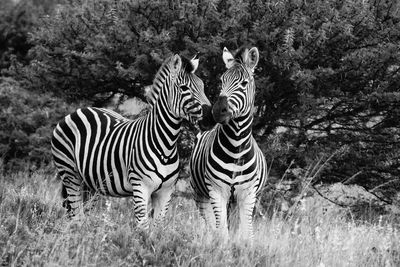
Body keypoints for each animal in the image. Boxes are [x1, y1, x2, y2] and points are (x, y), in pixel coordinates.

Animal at [52, 54, 216, 228]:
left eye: (202, 86)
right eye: (184, 88)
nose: (211, 118)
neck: (166, 144)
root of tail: (78, 110)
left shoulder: (165, 191)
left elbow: (157, 228)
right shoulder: (140, 187)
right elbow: (143, 227)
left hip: (90, 182)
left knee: (83, 213)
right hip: (70, 173)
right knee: (76, 216)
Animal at [189, 46, 268, 241]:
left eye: (244, 83)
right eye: (222, 81)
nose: (217, 111)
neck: (236, 146)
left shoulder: (248, 194)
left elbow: (247, 234)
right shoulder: (217, 191)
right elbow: (221, 233)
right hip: (200, 194)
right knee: (211, 226)